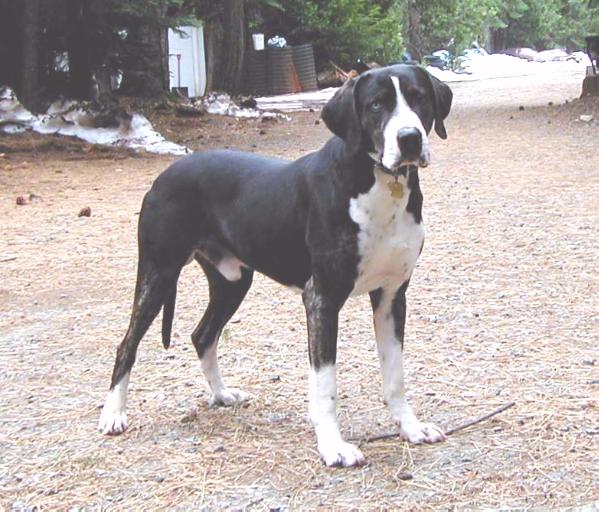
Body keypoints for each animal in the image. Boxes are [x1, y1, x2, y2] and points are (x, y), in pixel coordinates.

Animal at [98, 64, 452, 468]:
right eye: (376, 104)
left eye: (419, 97)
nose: (409, 139)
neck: (378, 184)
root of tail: (164, 175)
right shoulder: (322, 298)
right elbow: (325, 384)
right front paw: (333, 446)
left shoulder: (392, 296)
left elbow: (395, 375)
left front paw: (411, 427)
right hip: (158, 272)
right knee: (127, 344)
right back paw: (113, 414)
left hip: (232, 281)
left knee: (203, 335)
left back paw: (222, 395)